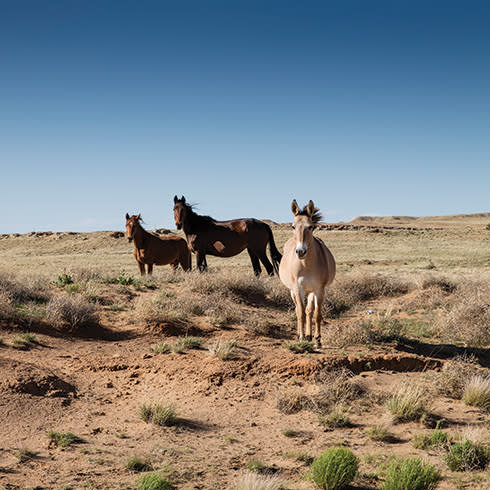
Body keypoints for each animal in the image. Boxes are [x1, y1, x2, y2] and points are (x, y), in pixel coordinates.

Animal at [280, 200, 336, 348]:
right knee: (298, 310)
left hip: (310, 291)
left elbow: (316, 314)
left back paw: (309, 336)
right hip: (293, 291)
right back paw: (301, 334)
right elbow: (300, 313)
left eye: (310, 227)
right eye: (293, 226)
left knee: (309, 311)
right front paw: (301, 338)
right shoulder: (297, 288)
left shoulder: (319, 289)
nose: (300, 251)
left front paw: (317, 340)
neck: (306, 265)